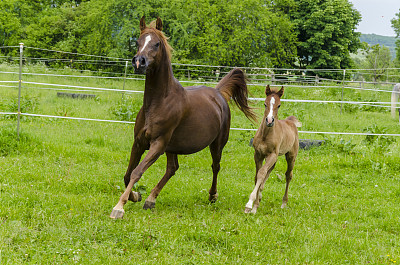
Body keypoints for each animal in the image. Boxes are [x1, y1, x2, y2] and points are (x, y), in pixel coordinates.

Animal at [108, 17, 256, 219]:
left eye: (156, 43)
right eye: (137, 42)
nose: (139, 62)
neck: (157, 104)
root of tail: (218, 93)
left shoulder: (158, 144)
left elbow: (136, 172)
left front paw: (119, 207)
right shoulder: (139, 142)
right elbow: (127, 174)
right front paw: (136, 196)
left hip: (216, 144)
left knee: (215, 166)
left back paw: (212, 196)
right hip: (173, 146)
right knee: (172, 168)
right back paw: (150, 200)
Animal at [244, 85, 300, 213]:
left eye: (279, 105)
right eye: (265, 103)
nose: (269, 120)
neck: (265, 135)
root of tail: (290, 121)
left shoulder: (272, 155)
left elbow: (261, 173)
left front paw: (251, 205)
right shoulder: (258, 154)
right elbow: (257, 176)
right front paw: (256, 203)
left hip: (291, 156)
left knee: (288, 175)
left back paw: (284, 203)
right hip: (273, 158)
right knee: (270, 171)